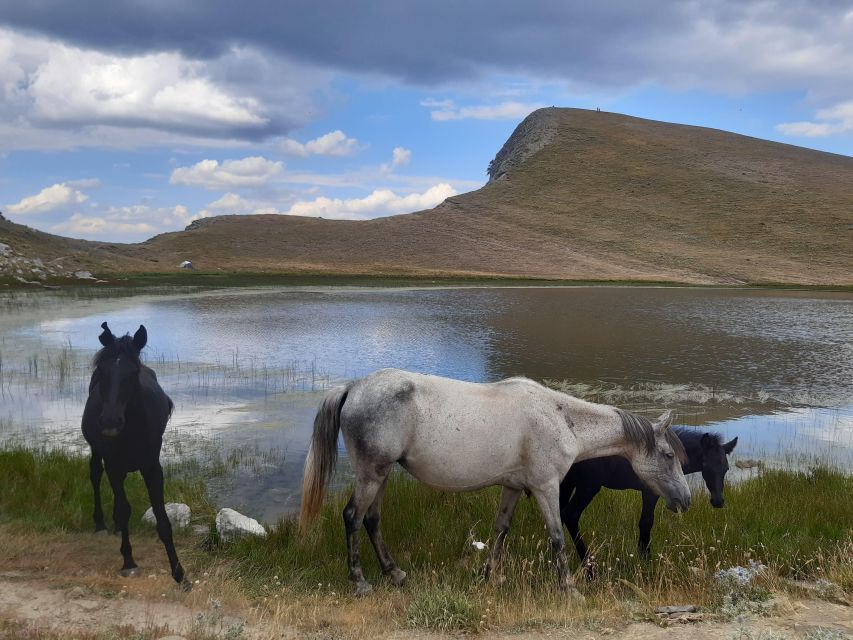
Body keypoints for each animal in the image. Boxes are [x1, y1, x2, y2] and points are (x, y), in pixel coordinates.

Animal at [80, 322, 189, 588]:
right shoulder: (113, 465)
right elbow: (123, 509)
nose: (110, 421)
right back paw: (101, 524)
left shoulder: (152, 468)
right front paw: (128, 561)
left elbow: (162, 519)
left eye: (132, 373)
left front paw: (180, 573)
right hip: (98, 453)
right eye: (102, 371)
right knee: (95, 475)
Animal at [298, 368, 684, 596]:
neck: (561, 418)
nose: (684, 499)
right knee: (352, 517)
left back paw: (395, 574)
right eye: (668, 455)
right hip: (371, 474)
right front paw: (568, 588)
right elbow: (557, 537)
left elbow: (501, 529)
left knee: (372, 519)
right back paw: (361, 581)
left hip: (382, 475)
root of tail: (353, 388)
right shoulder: (546, 487)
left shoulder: (513, 486)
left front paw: (490, 575)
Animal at [560, 424, 732, 568]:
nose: (718, 501)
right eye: (705, 465)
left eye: (726, 468)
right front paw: (645, 559)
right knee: (571, 515)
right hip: (588, 486)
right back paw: (589, 567)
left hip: (567, 483)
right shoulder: (651, 491)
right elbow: (646, 522)